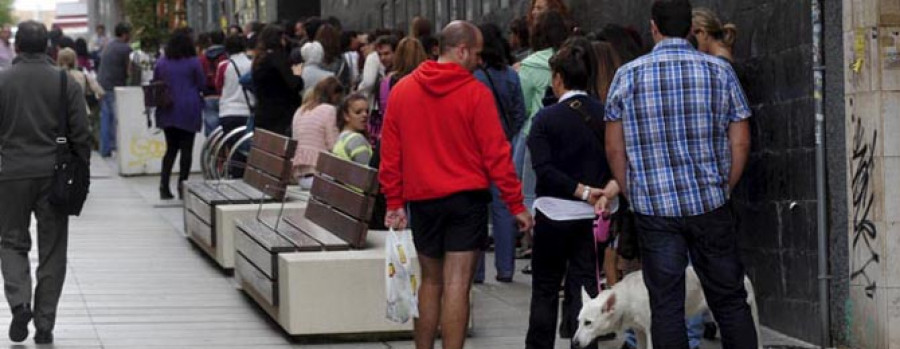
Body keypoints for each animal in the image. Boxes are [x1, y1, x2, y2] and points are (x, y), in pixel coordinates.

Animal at [572, 266, 756, 346]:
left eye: (588, 323)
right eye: (579, 322)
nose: (573, 344)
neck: (629, 297)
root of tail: (744, 275)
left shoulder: (652, 332)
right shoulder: (639, 332)